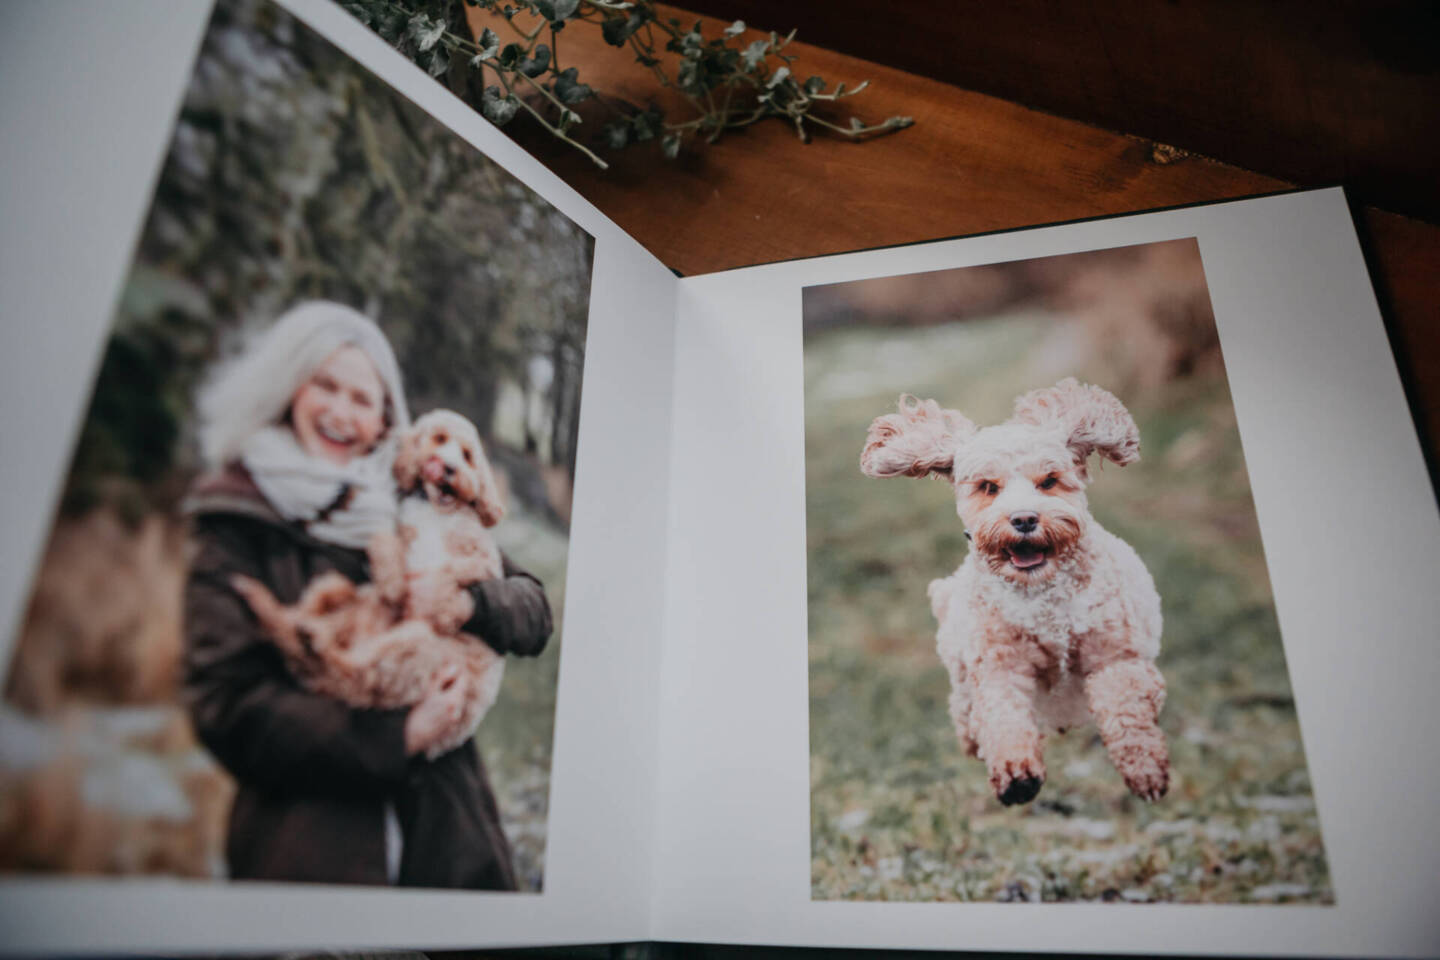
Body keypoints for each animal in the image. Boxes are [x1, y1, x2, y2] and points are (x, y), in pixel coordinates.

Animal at [858, 379, 1163, 805]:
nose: (1023, 519)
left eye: (1049, 480)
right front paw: (1017, 775)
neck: (1040, 596)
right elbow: (1004, 717)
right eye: (989, 487)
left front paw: (1145, 770)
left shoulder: (1114, 656)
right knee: (967, 715)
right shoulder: (1000, 665)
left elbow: (1126, 710)